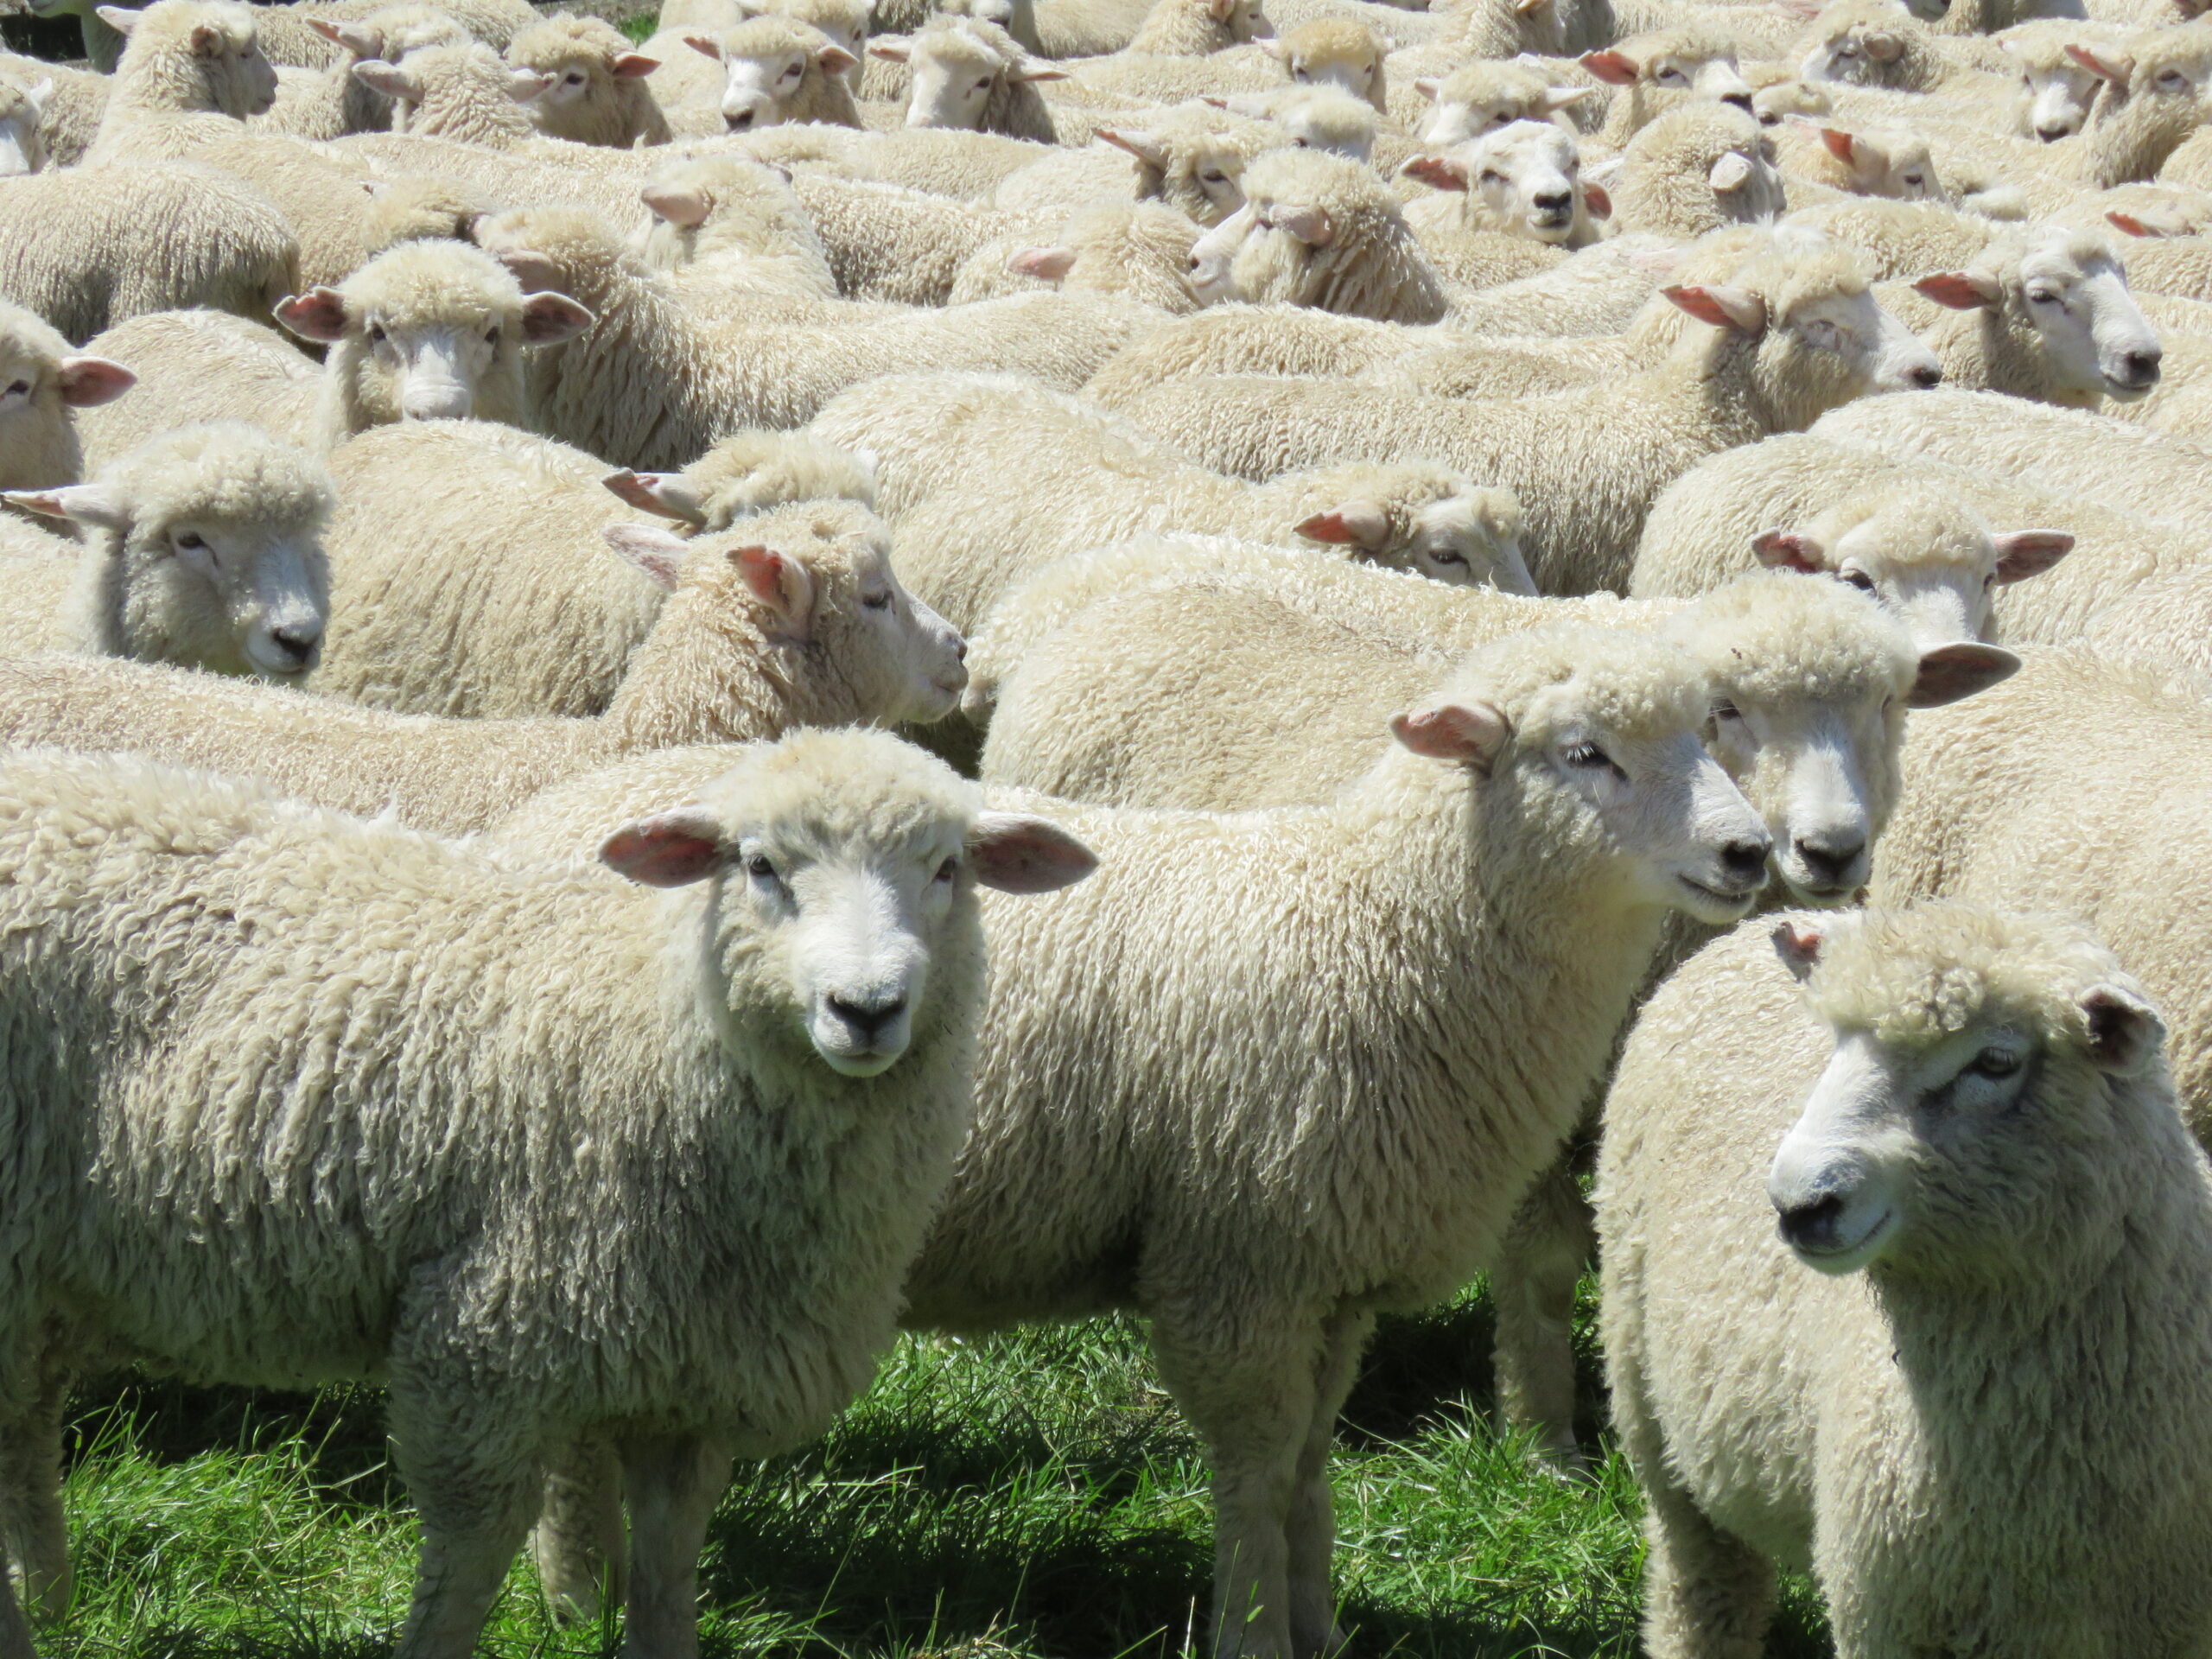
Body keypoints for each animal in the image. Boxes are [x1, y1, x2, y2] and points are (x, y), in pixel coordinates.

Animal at [0, 730, 1093, 1649]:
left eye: (947, 869)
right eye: (760, 865)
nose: (865, 1009)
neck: (652, 1026)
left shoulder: (693, 1381)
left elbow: (666, 1567)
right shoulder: (481, 1339)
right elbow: (468, 1563)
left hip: (49, 1272)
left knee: (25, 1434)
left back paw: (51, 1607)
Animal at [1598, 899, 2212, 1656]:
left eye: (1996, 1061)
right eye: (1836, 1043)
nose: (1799, 1203)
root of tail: (1750, 931)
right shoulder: (1887, 1615)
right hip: (1645, 1402)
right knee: (1701, 1579)